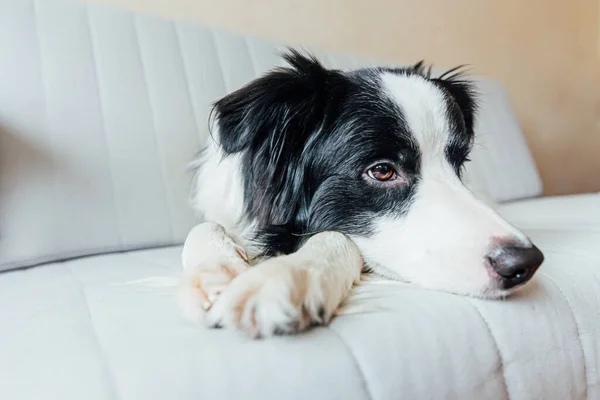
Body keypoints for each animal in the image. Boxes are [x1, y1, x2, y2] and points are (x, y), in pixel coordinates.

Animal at [178, 49, 544, 338]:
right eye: (382, 171)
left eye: (459, 164)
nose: (525, 263)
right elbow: (205, 227)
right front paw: (214, 274)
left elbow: (334, 237)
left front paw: (286, 275)